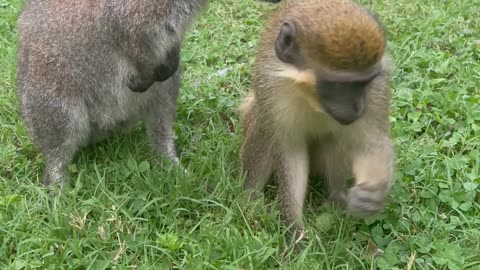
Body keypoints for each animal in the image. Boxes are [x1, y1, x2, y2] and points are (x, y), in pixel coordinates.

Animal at [239, 0, 394, 243]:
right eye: (341, 85)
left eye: (364, 83)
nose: (358, 108)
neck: (310, 96)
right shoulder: (272, 88)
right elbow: (289, 152)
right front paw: (294, 230)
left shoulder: (377, 88)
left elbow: (371, 140)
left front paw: (373, 193)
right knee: (263, 126)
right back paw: (250, 201)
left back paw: (337, 198)